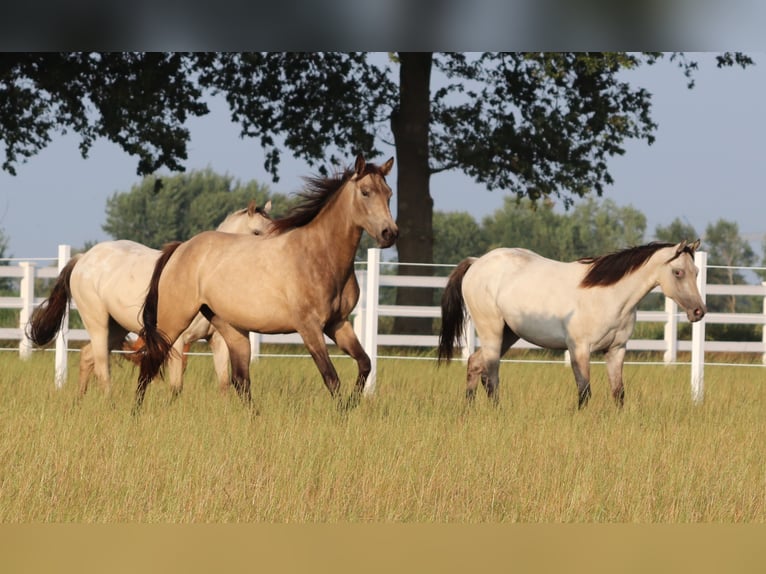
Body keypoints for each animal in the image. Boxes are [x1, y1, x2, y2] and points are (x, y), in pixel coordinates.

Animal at [26, 200, 273, 398]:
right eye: (256, 232)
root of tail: (83, 258)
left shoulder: (218, 340)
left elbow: (223, 384)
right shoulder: (178, 341)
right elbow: (176, 386)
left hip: (117, 328)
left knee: (88, 357)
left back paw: (79, 401)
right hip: (98, 323)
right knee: (102, 366)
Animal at [136, 155, 397, 411]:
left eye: (389, 193)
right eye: (365, 192)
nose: (389, 233)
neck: (319, 255)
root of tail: (180, 248)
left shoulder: (338, 323)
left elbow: (365, 363)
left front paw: (351, 406)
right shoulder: (310, 328)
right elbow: (331, 377)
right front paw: (342, 414)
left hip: (231, 328)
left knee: (240, 380)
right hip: (174, 321)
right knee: (150, 363)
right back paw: (136, 413)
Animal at [438, 240, 706, 409]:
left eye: (696, 272)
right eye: (678, 272)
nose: (698, 312)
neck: (609, 296)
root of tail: (476, 263)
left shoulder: (616, 350)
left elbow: (618, 392)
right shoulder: (579, 349)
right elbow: (584, 391)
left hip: (509, 334)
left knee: (476, 365)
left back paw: (469, 409)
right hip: (491, 331)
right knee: (492, 375)